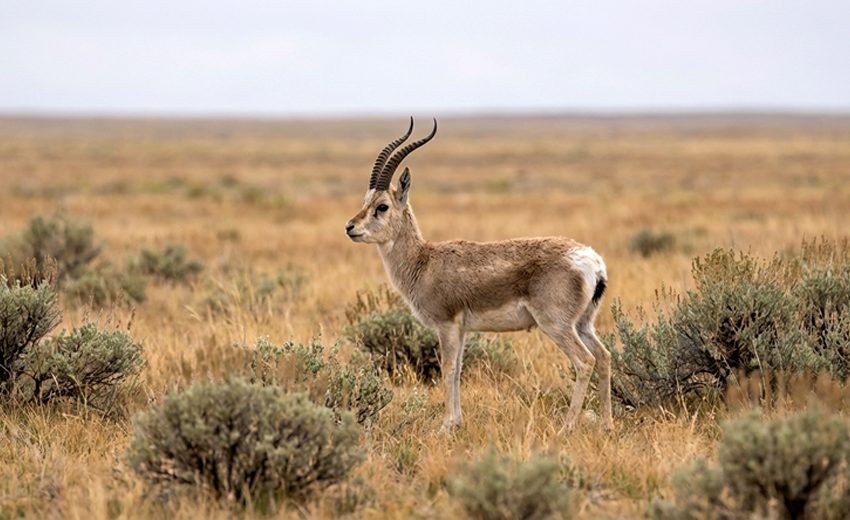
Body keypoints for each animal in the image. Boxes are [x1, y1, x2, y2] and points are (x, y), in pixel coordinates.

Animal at [345, 118, 612, 433]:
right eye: (365, 201)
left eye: (382, 206)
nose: (350, 227)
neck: (424, 261)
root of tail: (592, 260)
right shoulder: (461, 329)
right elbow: (459, 369)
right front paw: (457, 422)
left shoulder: (447, 325)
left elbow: (448, 369)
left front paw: (445, 426)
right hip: (583, 324)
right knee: (605, 357)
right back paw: (607, 425)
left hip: (556, 325)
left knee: (584, 361)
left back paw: (566, 427)